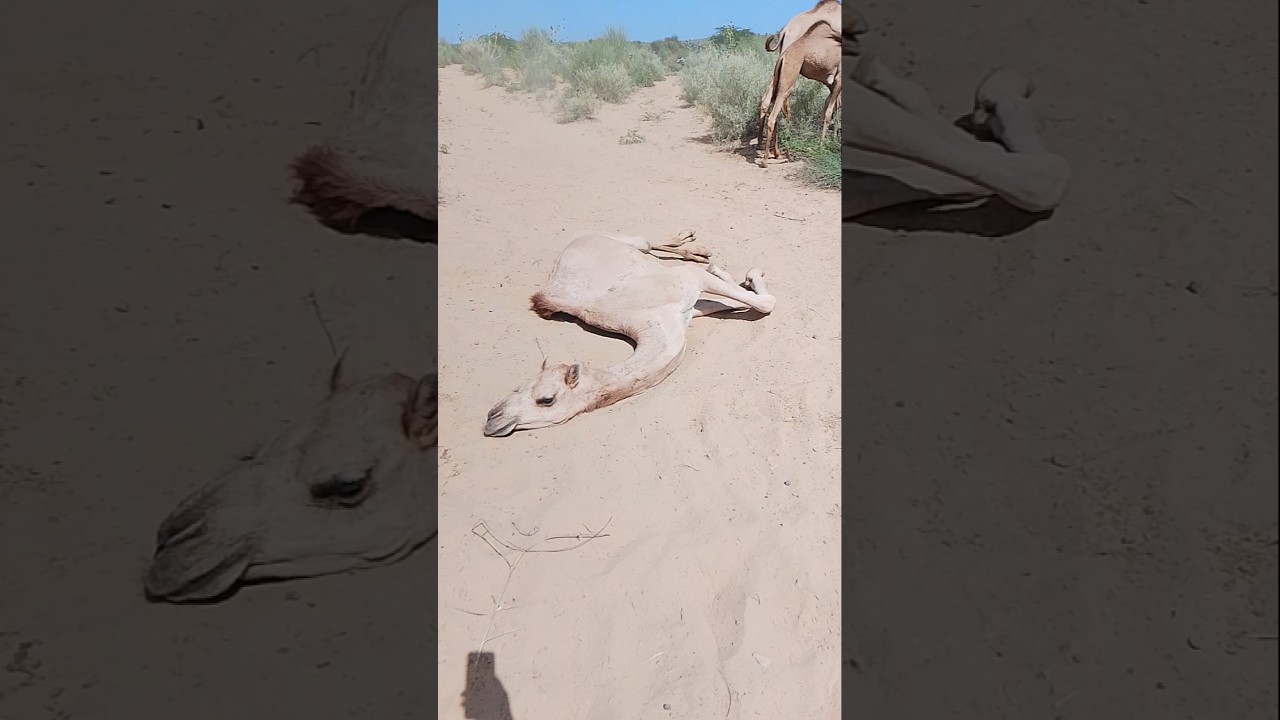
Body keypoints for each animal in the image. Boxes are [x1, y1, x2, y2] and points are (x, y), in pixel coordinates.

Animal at [482, 231, 776, 437]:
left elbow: (761, 302)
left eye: (546, 399)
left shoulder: (688, 286)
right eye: (518, 387)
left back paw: (696, 246)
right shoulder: (689, 307)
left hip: (620, 240)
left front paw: (749, 274)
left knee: (645, 242)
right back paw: (696, 249)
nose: (493, 418)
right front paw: (736, 276)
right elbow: (756, 302)